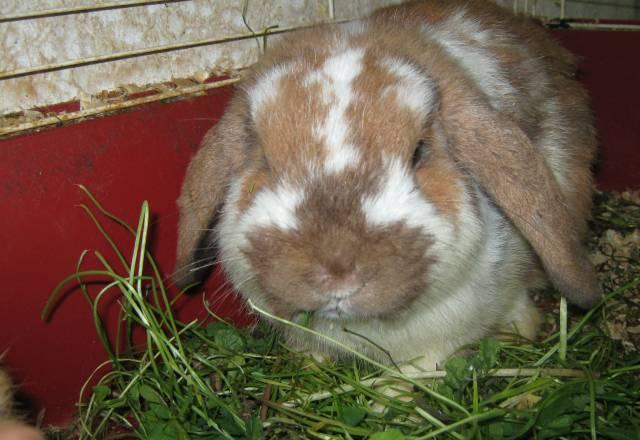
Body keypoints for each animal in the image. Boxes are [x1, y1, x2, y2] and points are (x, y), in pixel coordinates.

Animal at [174, 0, 600, 370]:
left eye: (419, 151)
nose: (337, 276)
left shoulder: (444, 334)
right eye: (263, 159)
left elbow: (420, 368)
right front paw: (310, 363)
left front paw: (386, 397)